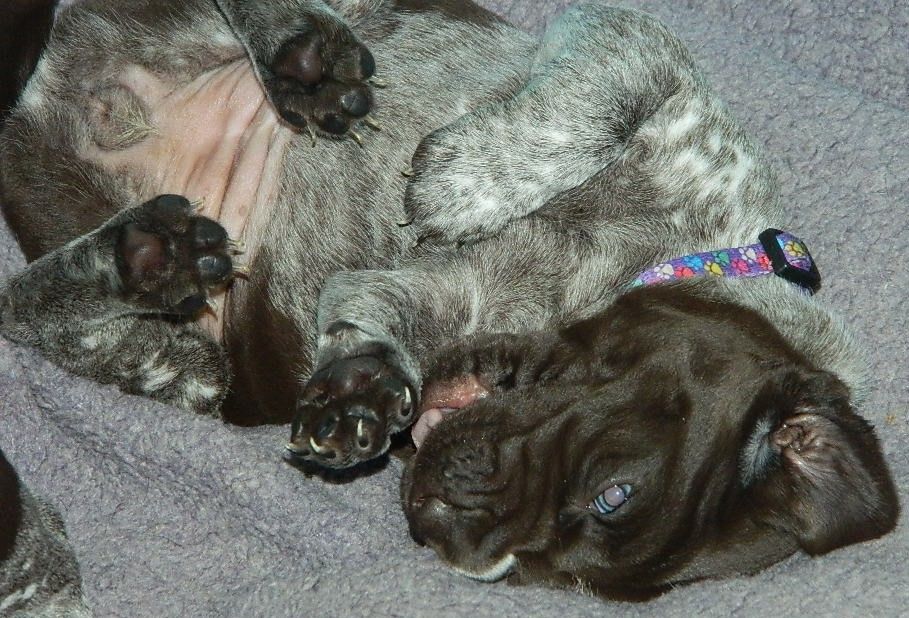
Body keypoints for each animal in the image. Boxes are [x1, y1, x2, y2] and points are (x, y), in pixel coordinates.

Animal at [0, 0, 899, 600]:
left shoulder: (430, 303)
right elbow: (603, 95)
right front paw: (471, 183)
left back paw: (151, 288)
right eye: (614, 492)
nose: (444, 534)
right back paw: (302, 53)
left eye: (532, 576)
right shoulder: (632, 48)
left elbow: (368, 317)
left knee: (28, 305)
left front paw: (361, 386)